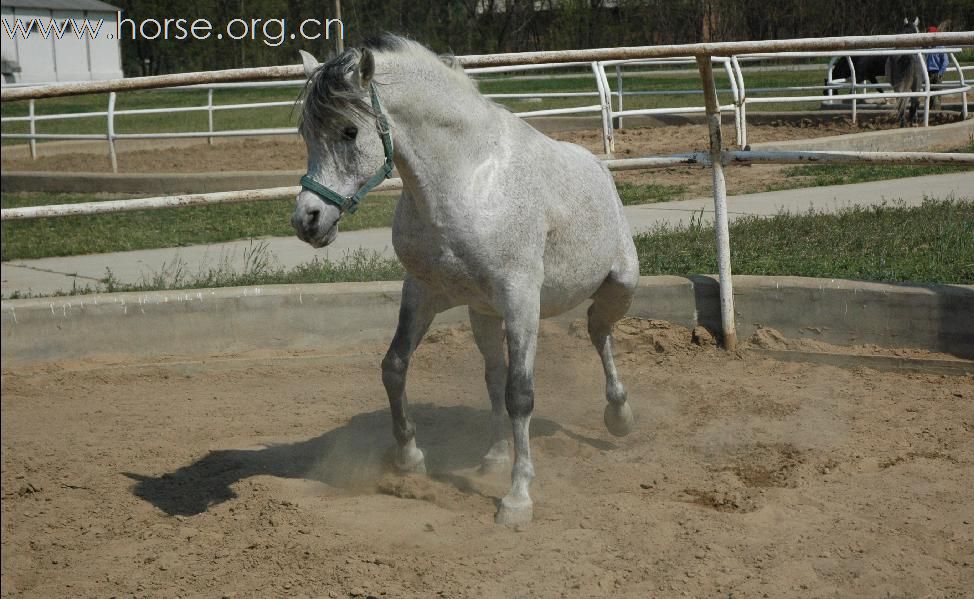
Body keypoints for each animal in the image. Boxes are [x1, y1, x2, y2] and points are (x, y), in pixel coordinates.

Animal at [290, 36, 640, 524]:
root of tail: (599, 167)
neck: (468, 179)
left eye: (349, 132)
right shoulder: (423, 292)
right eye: (305, 134)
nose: (307, 221)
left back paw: (619, 417)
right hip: (483, 315)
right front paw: (409, 458)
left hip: (619, 286)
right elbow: (395, 367)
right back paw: (493, 456)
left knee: (599, 333)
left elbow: (521, 394)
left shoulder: (521, 299)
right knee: (495, 375)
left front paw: (517, 498)